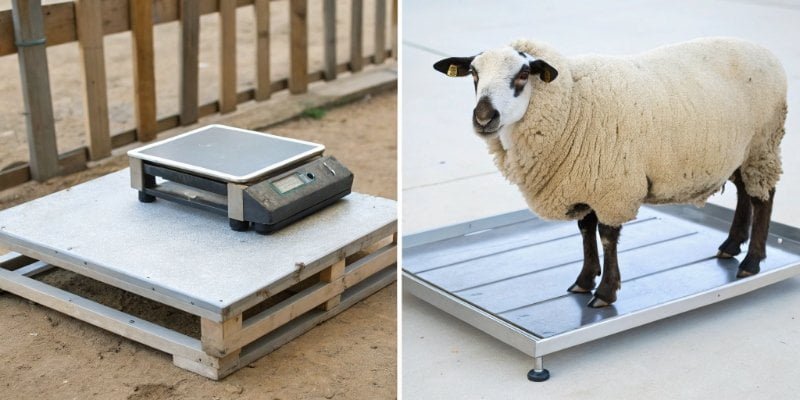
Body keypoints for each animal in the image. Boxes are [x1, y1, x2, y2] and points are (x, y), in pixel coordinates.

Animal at [433, 37, 787, 308]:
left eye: (522, 75)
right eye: (474, 74)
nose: (483, 117)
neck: (572, 105)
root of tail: (763, 49)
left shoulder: (612, 186)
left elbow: (606, 237)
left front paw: (605, 292)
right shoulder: (585, 181)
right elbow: (585, 230)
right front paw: (584, 279)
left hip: (763, 144)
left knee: (763, 198)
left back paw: (751, 261)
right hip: (740, 150)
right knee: (744, 192)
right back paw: (731, 244)